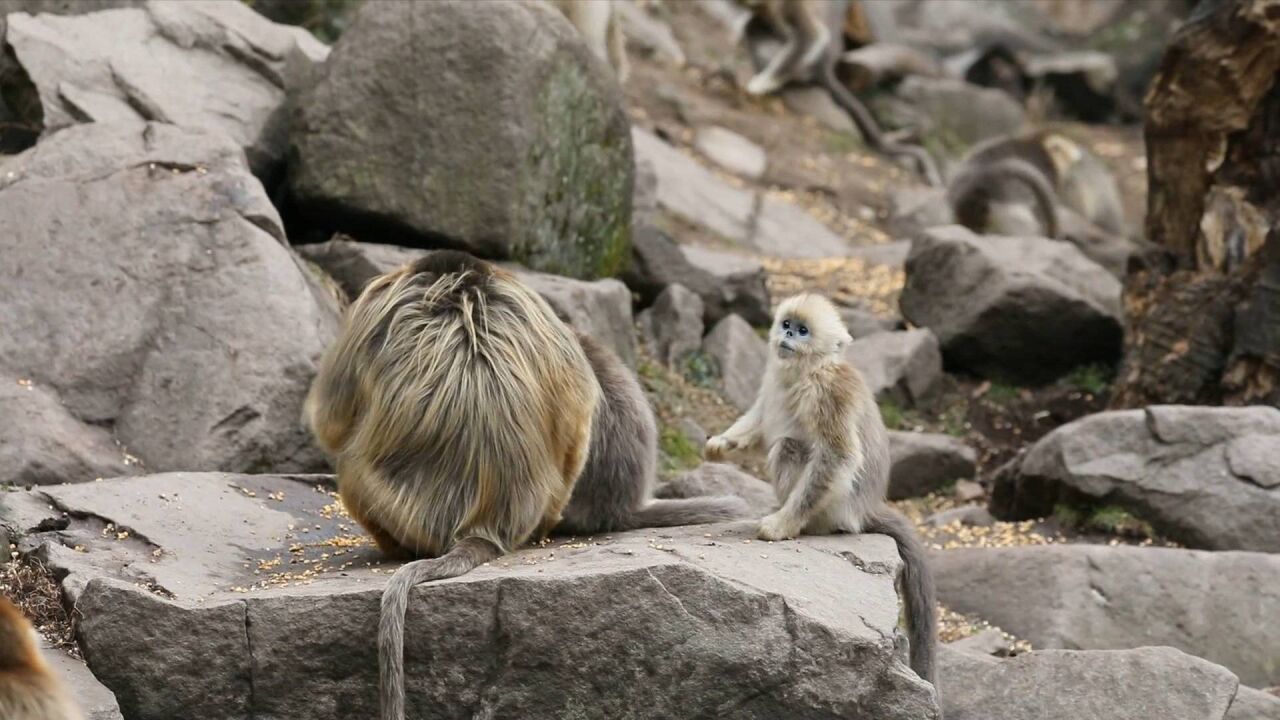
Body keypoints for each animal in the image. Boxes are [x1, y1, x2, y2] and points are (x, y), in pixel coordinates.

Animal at [701, 292, 942, 691]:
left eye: (803, 331)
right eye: (786, 325)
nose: (787, 337)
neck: (806, 371)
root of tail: (865, 510)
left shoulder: (829, 393)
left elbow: (838, 454)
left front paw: (781, 525)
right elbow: (759, 419)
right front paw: (721, 444)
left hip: (835, 508)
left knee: (787, 447)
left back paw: (797, 522)